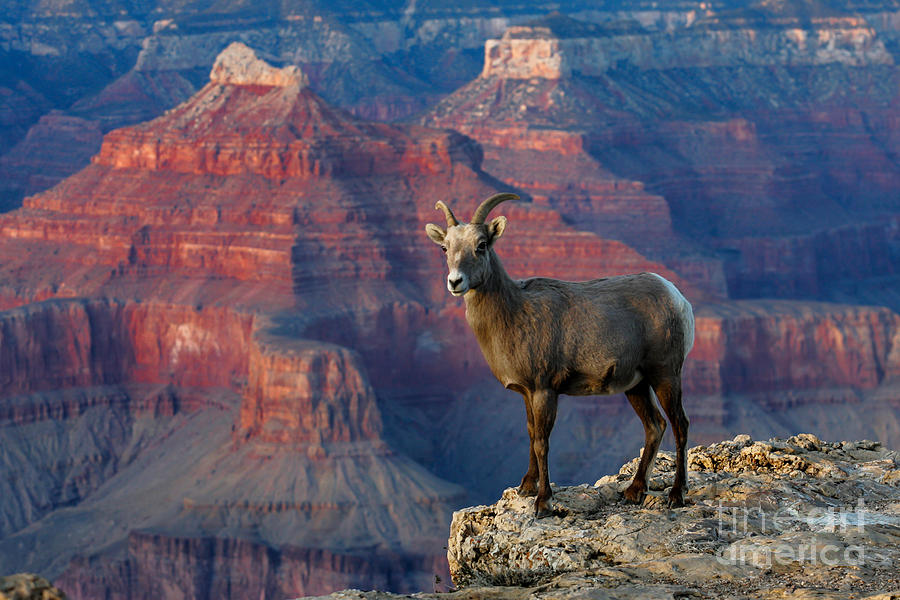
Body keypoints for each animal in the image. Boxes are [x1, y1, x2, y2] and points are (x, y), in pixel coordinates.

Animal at [424, 192, 696, 516]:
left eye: (481, 245)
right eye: (445, 247)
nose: (455, 282)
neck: (513, 313)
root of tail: (677, 298)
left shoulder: (545, 390)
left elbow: (542, 442)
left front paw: (543, 502)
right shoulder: (527, 393)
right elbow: (531, 434)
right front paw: (526, 488)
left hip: (665, 374)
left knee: (679, 424)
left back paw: (677, 495)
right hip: (637, 385)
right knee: (655, 426)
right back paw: (634, 492)